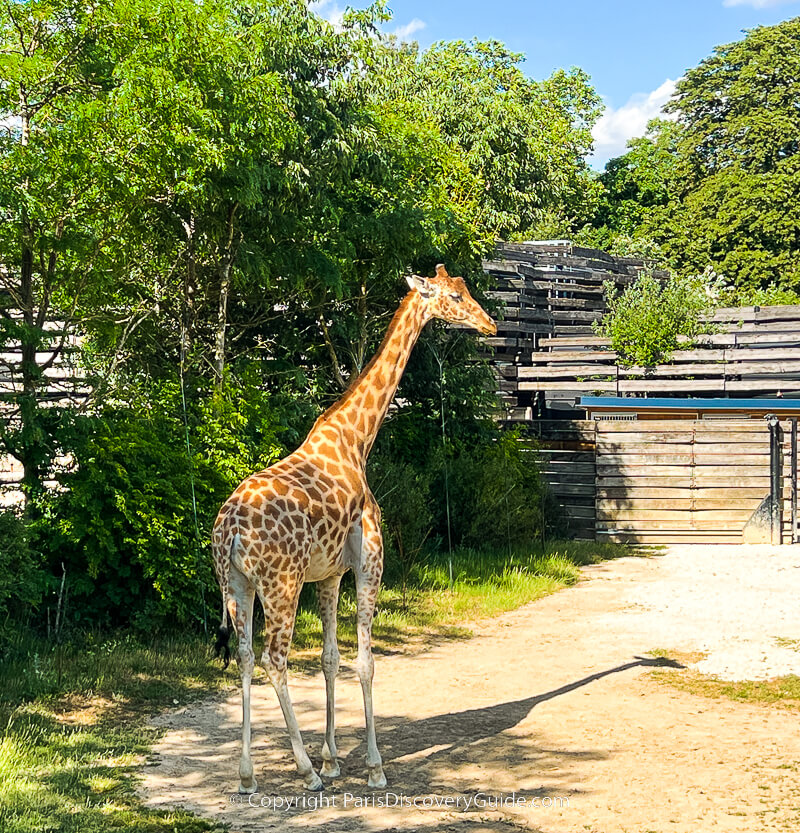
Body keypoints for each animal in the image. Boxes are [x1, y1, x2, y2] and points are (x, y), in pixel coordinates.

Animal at [211, 264, 500, 792]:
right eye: (453, 297)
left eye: (466, 290)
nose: (488, 325)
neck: (357, 438)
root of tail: (231, 531)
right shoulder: (369, 564)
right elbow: (366, 661)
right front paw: (372, 765)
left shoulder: (327, 575)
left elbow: (331, 659)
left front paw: (333, 758)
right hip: (280, 586)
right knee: (274, 659)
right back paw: (304, 772)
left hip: (237, 586)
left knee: (244, 656)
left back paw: (247, 775)